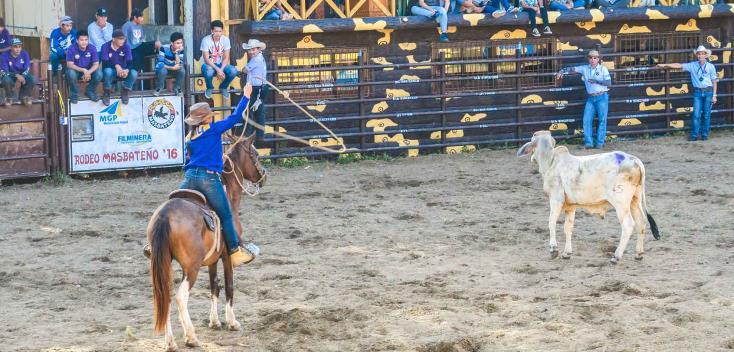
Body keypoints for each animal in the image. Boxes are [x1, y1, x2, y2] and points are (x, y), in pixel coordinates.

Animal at [147, 133, 268, 350]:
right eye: (255, 154)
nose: (264, 175)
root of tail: (164, 215)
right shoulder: (227, 256)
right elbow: (229, 287)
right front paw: (232, 322)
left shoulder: (212, 259)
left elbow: (214, 287)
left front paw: (215, 322)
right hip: (192, 267)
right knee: (181, 296)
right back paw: (191, 337)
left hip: (165, 264)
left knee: (165, 296)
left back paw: (170, 342)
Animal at [516, 131, 660, 262]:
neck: (551, 161)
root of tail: (635, 160)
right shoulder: (571, 206)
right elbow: (568, 227)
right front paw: (566, 253)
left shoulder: (556, 199)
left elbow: (551, 222)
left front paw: (553, 250)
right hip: (635, 200)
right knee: (641, 222)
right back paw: (638, 254)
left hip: (621, 203)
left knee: (628, 225)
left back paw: (616, 256)